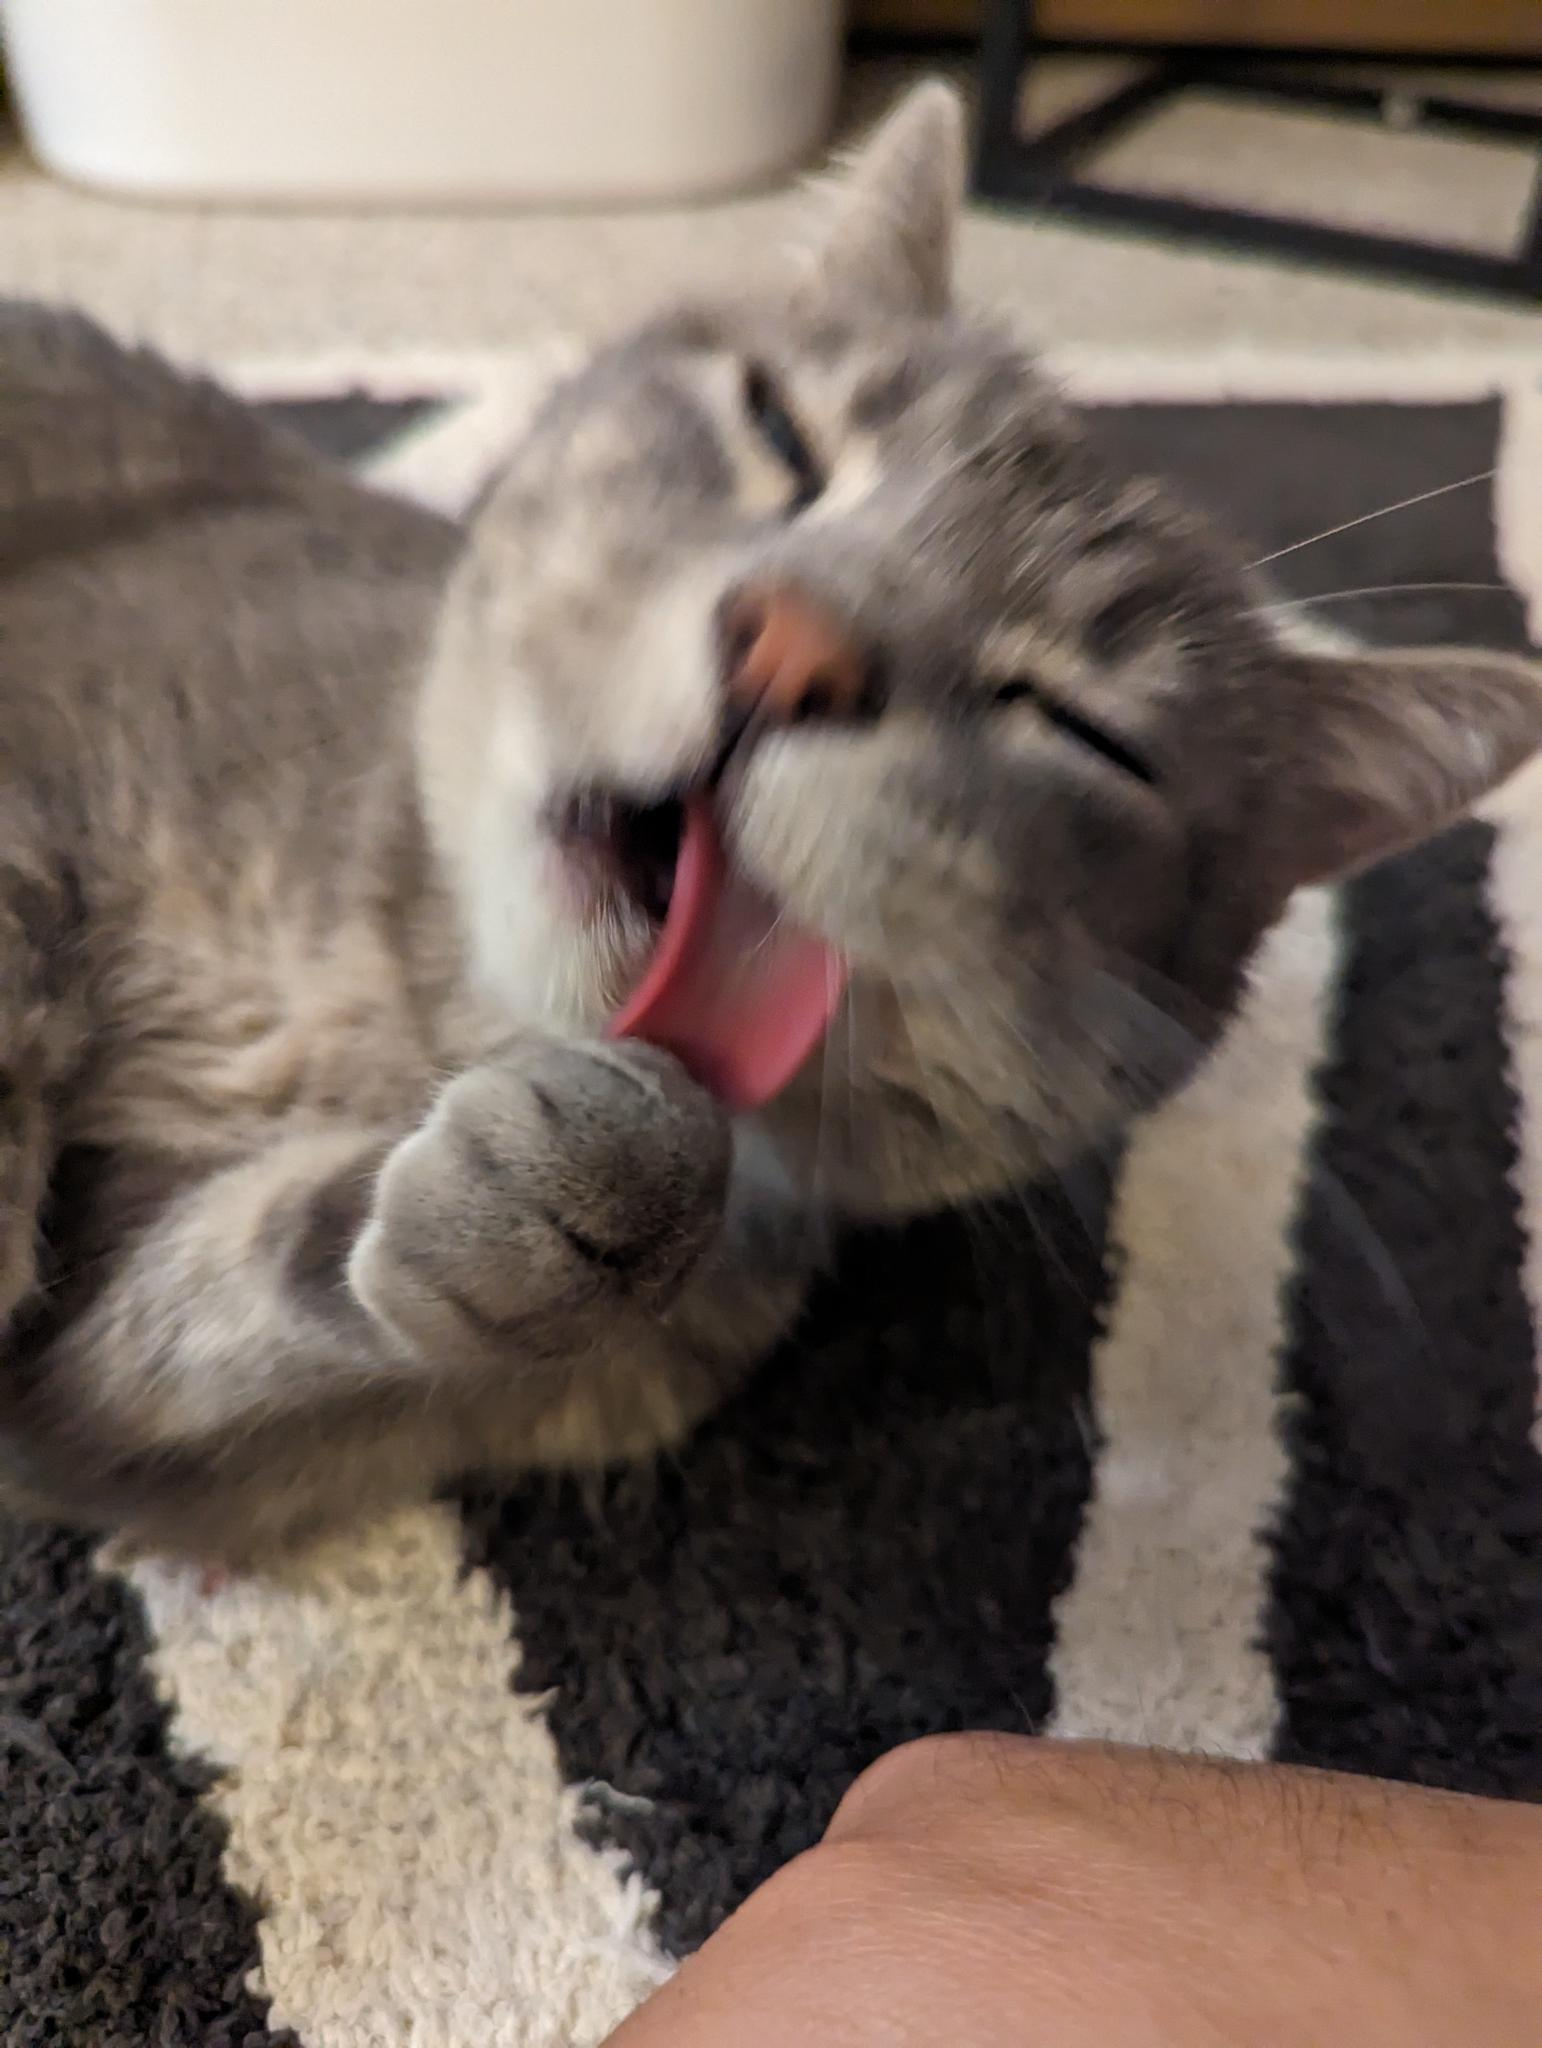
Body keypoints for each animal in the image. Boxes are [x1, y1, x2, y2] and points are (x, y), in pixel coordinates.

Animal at [3, 75, 1539, 1548]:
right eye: (781, 434)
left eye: (1082, 728)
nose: (796, 641)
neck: (415, 1010)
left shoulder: (170, 1419)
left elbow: (205, 1317)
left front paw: (562, 1201)